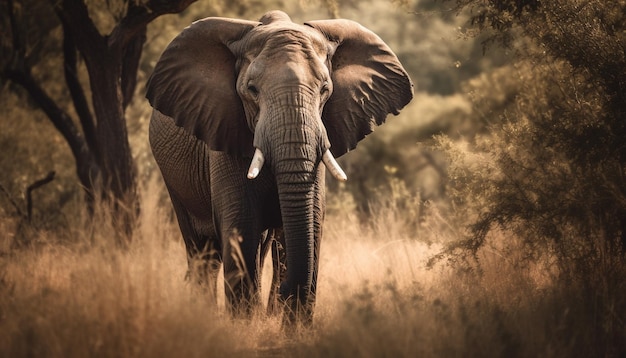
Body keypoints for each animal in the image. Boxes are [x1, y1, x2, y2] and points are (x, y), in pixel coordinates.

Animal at [144, 9, 412, 324]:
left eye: (325, 90)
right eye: (251, 90)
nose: (284, 292)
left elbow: (311, 224)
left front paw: (292, 325)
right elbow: (241, 225)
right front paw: (245, 325)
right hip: (174, 181)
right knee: (202, 251)